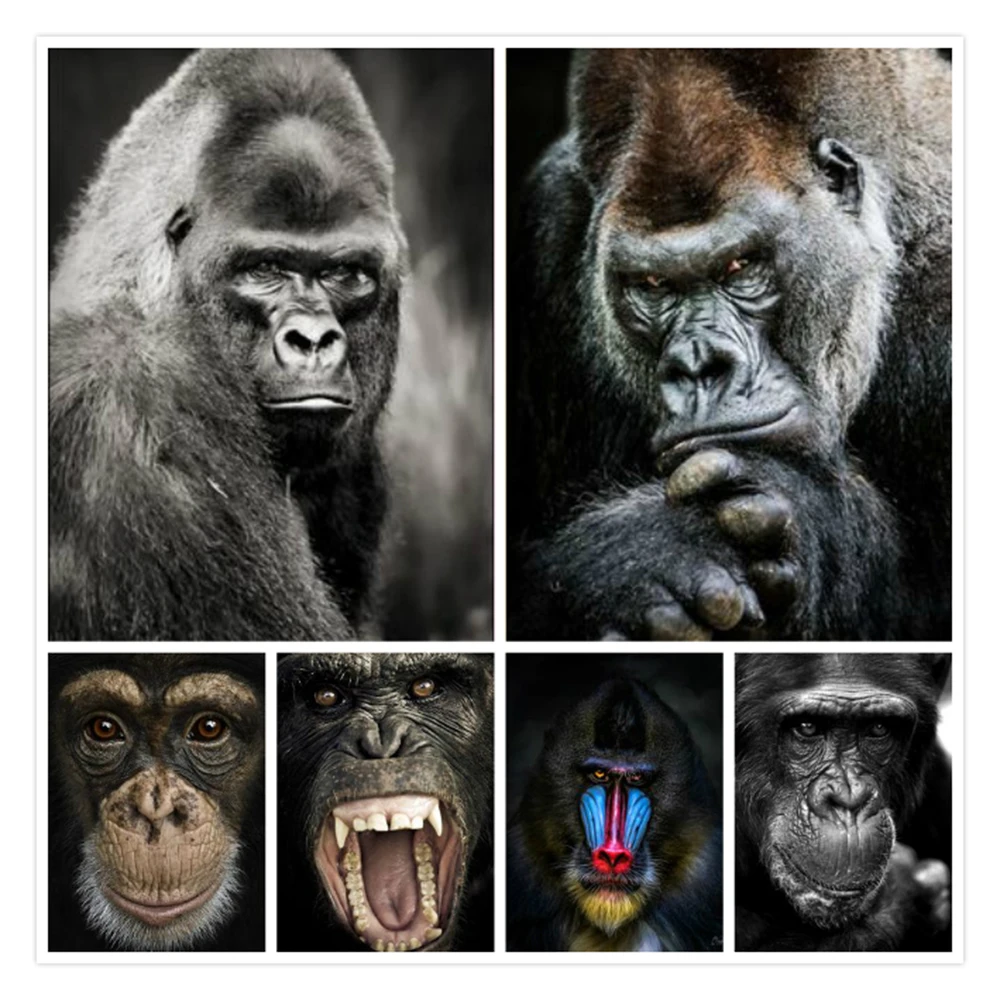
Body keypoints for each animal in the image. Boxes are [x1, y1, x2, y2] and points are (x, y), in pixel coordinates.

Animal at [507, 48, 951, 641]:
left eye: (741, 266)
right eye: (652, 284)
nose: (699, 365)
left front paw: (809, 518)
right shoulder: (549, 229)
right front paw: (634, 560)